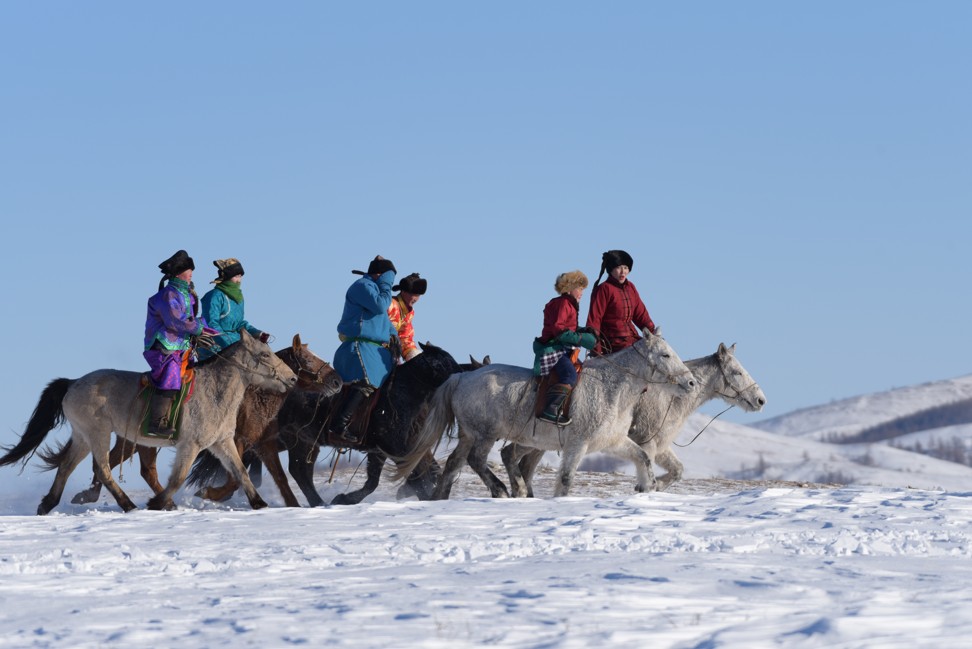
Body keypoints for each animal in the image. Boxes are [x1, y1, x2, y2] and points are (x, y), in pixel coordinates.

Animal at [0, 332, 296, 512]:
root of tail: (72, 383)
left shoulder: (222, 442)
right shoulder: (191, 445)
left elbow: (241, 472)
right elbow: (177, 478)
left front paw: (259, 504)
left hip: (83, 436)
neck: (215, 391)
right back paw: (128, 504)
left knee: (65, 467)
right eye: (265, 355)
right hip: (98, 433)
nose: (292, 378)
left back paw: (47, 504)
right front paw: (157, 502)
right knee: (103, 469)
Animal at [68, 336, 342, 508]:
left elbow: (267, 476)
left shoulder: (259, 443)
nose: (338, 381)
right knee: (115, 466)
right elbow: (232, 478)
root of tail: (73, 386)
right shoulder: (234, 442)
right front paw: (209, 494)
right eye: (307, 359)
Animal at [190, 340, 468, 506]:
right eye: (441, 363)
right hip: (296, 442)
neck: (402, 396)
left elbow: (377, 480)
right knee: (293, 472)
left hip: (301, 444)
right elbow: (414, 474)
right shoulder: (396, 448)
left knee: (296, 472)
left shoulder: (384, 450)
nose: (462, 379)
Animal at [394, 330, 700, 502]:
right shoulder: (577, 444)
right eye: (665, 355)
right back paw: (504, 490)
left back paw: (441, 499)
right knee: (476, 461)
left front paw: (647, 488)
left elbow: (644, 458)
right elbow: (565, 479)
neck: (611, 387)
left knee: (454, 464)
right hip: (485, 435)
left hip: (469, 434)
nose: (691, 383)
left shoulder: (613, 442)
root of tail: (461, 377)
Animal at [502, 344, 768, 496]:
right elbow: (647, 468)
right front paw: (645, 488)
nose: (760, 400)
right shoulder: (648, 443)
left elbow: (677, 470)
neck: (671, 396)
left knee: (517, 459)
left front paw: (657, 485)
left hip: (538, 441)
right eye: (737, 372)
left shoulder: (660, 447)